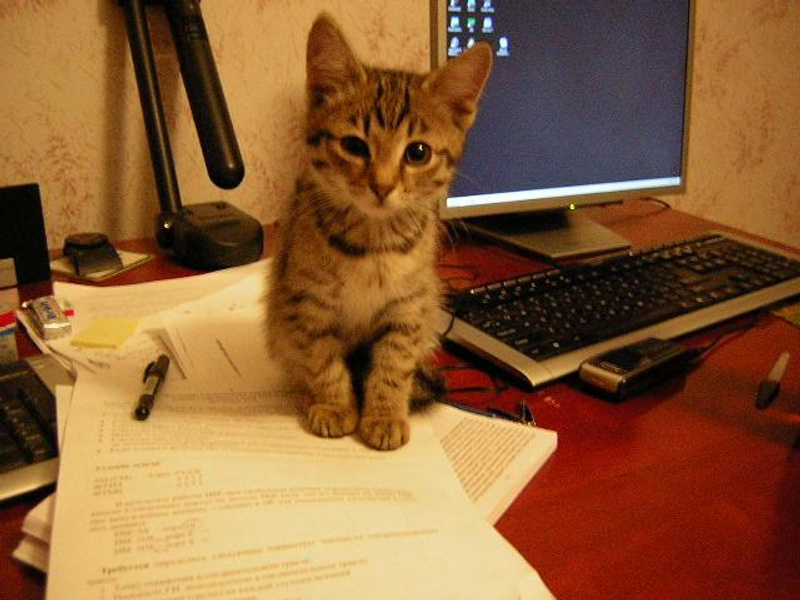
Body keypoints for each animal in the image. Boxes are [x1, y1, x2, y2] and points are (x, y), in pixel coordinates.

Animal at [266, 13, 492, 450]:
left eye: (417, 152)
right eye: (354, 146)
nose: (382, 186)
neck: (373, 243)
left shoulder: (408, 308)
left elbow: (393, 364)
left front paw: (385, 414)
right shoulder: (307, 302)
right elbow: (322, 359)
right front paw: (336, 405)